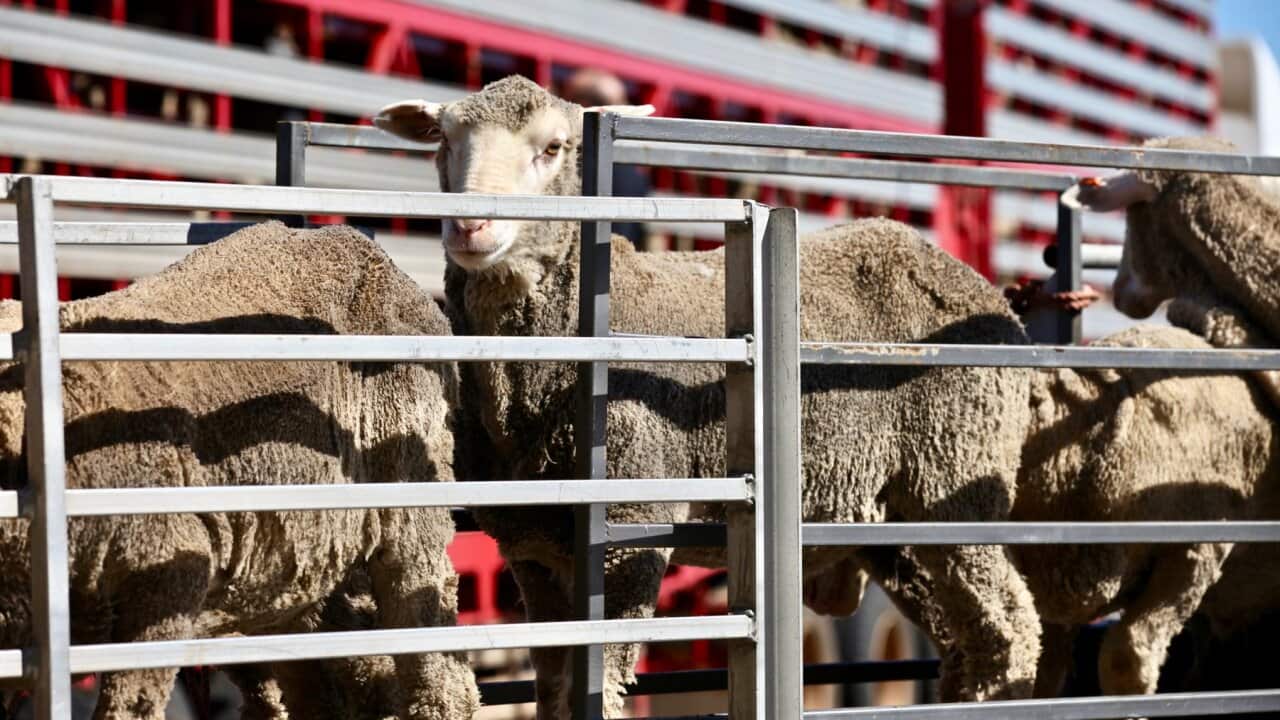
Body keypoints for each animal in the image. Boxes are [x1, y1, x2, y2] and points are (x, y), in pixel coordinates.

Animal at [376, 75, 1042, 716]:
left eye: (554, 147)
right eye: (444, 140)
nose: (470, 226)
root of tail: (978, 286)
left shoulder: (633, 529)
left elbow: (600, 685)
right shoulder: (535, 550)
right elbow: (556, 692)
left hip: (956, 480)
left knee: (1012, 627)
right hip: (897, 522)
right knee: (972, 641)